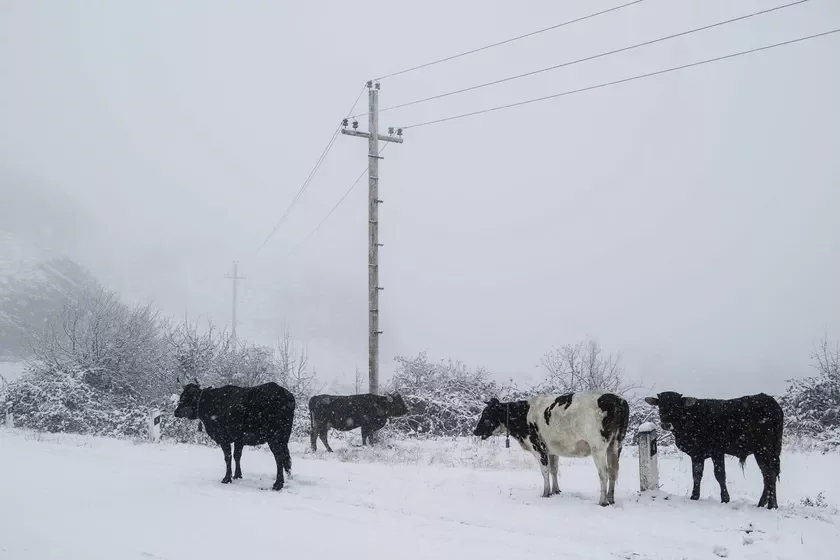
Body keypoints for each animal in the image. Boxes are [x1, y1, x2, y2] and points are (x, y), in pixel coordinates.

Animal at [473, 391, 629, 506]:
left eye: (487, 414)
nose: (475, 431)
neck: (522, 416)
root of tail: (618, 400)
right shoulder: (552, 450)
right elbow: (554, 469)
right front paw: (556, 490)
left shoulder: (538, 447)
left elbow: (545, 471)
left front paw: (546, 493)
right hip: (616, 445)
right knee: (613, 471)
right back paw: (611, 499)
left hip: (598, 448)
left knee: (604, 473)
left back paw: (602, 501)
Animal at [644, 391, 784, 509]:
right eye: (660, 405)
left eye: (677, 406)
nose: (666, 424)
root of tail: (770, 401)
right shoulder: (697, 454)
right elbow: (697, 474)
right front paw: (694, 496)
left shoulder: (717, 451)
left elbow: (719, 474)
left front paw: (725, 499)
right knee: (767, 474)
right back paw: (763, 503)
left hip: (763, 449)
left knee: (770, 473)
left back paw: (771, 505)